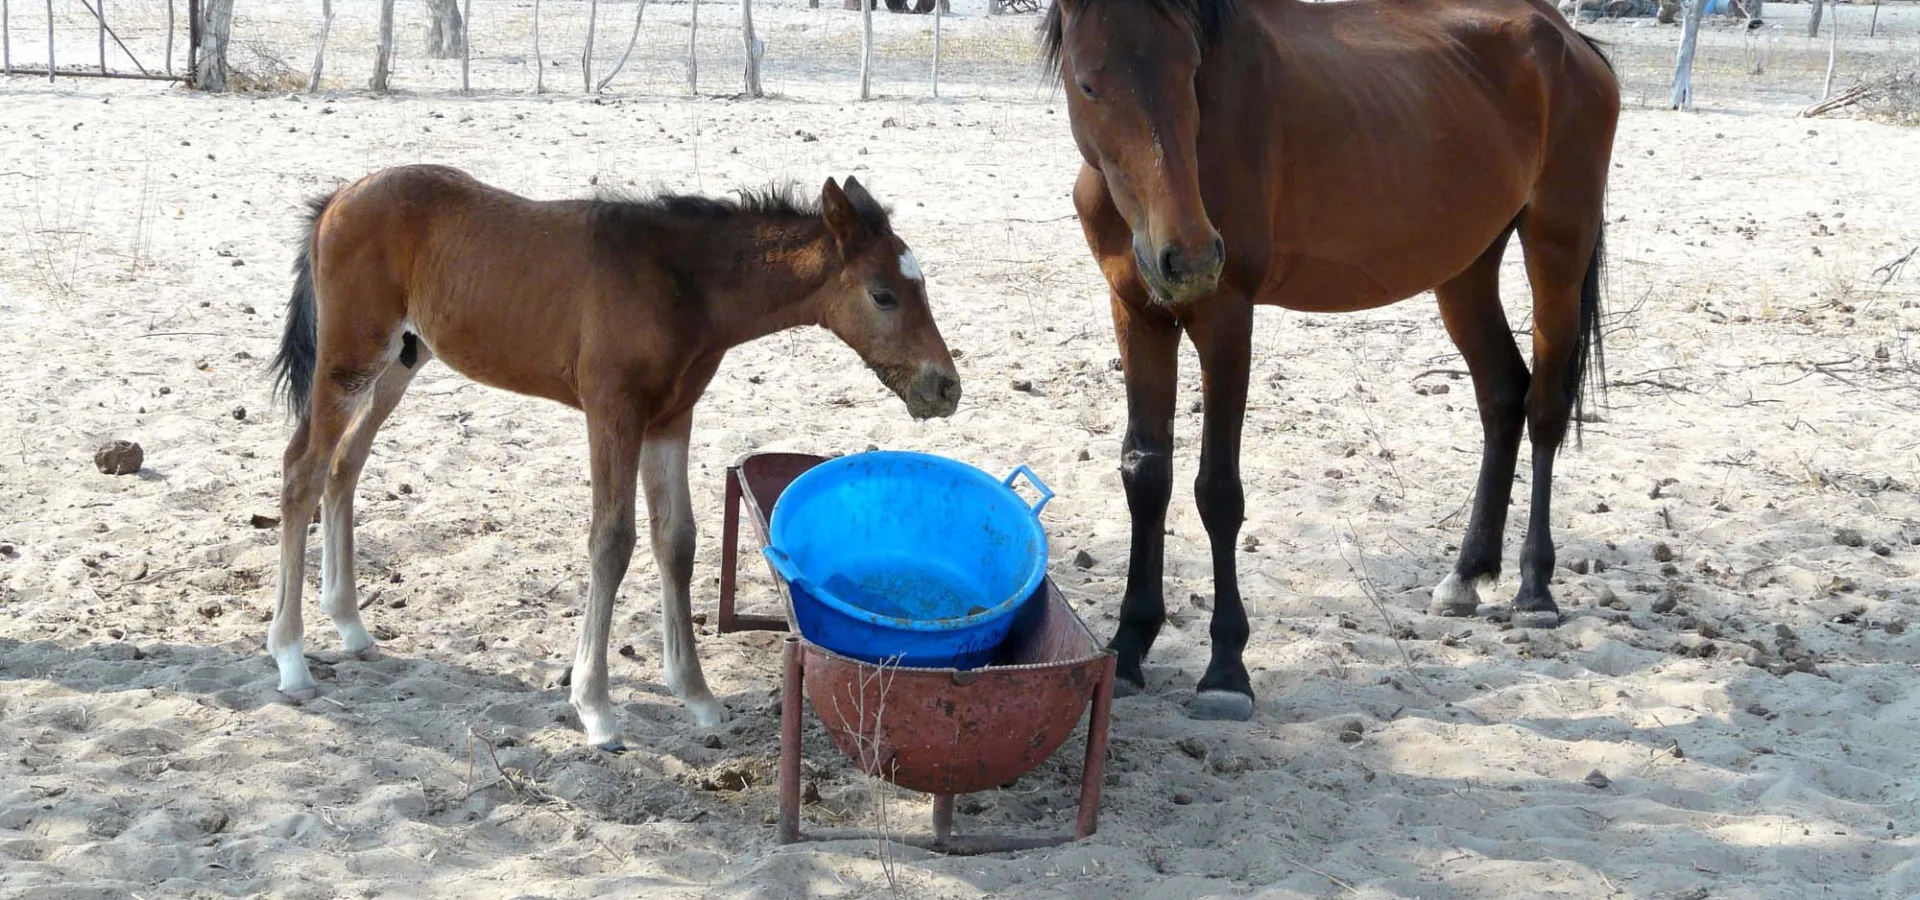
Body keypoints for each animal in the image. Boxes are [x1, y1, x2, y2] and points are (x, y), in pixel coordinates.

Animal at [263, 164, 961, 750]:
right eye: (883, 295)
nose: (945, 388)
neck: (682, 282)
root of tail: (338, 197)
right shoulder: (612, 412)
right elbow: (612, 540)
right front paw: (594, 707)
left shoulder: (670, 420)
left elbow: (676, 539)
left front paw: (697, 696)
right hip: (349, 359)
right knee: (302, 470)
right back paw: (291, 656)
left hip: (401, 361)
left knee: (344, 465)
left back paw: (350, 626)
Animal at [1043, 0, 1620, 720]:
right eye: (1089, 84)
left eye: (1189, 73)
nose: (1191, 258)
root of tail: (1569, 39)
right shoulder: (1137, 311)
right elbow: (1146, 474)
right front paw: (1129, 644)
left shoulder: (1226, 317)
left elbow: (1217, 491)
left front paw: (1226, 670)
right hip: (1465, 267)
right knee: (1501, 396)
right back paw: (1466, 575)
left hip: (1557, 249)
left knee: (1544, 407)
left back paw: (1535, 589)